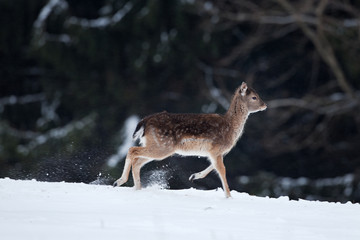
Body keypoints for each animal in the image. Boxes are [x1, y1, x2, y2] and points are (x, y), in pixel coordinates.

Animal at [113, 82, 268, 197]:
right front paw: (229, 196)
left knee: (137, 160)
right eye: (254, 97)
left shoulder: (215, 152)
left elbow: (213, 167)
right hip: (162, 146)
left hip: (157, 146)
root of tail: (145, 121)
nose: (265, 105)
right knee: (132, 150)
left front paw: (194, 176)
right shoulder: (216, 150)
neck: (230, 127)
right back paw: (121, 182)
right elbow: (222, 170)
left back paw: (134, 187)